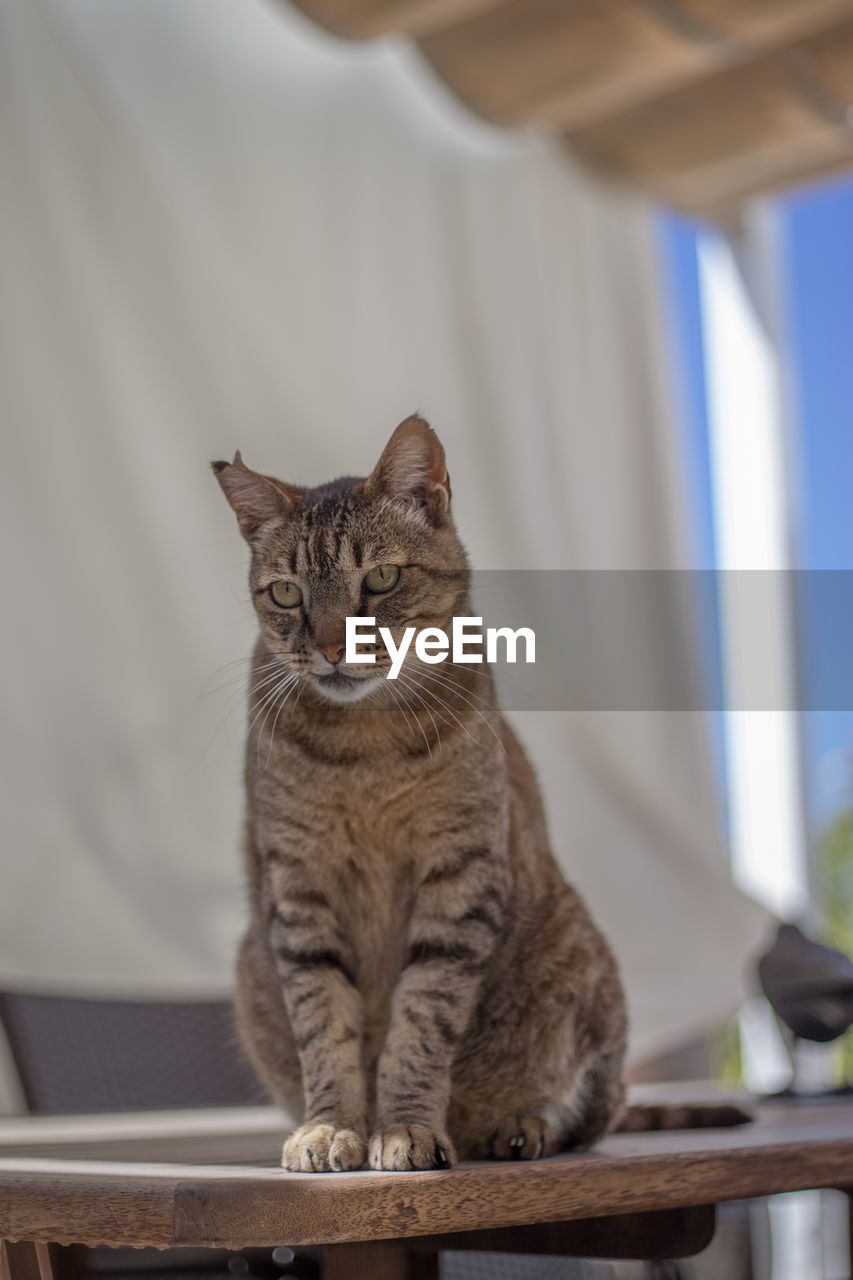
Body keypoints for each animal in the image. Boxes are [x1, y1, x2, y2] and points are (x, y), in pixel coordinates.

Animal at [213, 412, 742, 1172]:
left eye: (379, 578)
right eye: (286, 593)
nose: (331, 649)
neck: (364, 749)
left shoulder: (459, 880)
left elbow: (419, 1026)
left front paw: (403, 1127)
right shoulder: (298, 892)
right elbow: (324, 1030)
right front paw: (332, 1126)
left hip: (579, 966)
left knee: (597, 1110)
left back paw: (518, 1126)